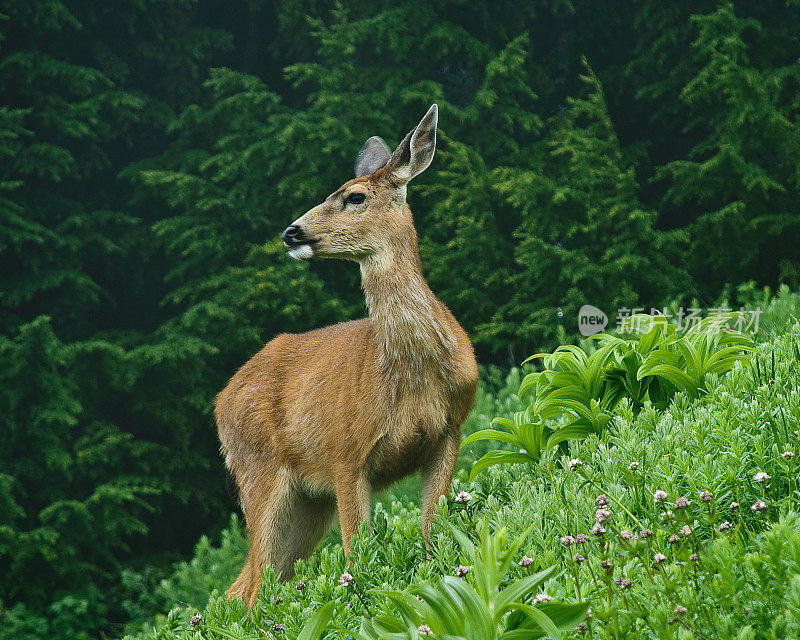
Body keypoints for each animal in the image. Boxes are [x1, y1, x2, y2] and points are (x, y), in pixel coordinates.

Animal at [214, 104, 476, 604]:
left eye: (354, 196)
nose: (291, 231)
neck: (411, 374)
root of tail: (219, 401)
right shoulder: (345, 452)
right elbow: (359, 552)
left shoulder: (449, 432)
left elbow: (433, 533)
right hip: (259, 470)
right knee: (252, 584)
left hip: (309, 499)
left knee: (258, 579)